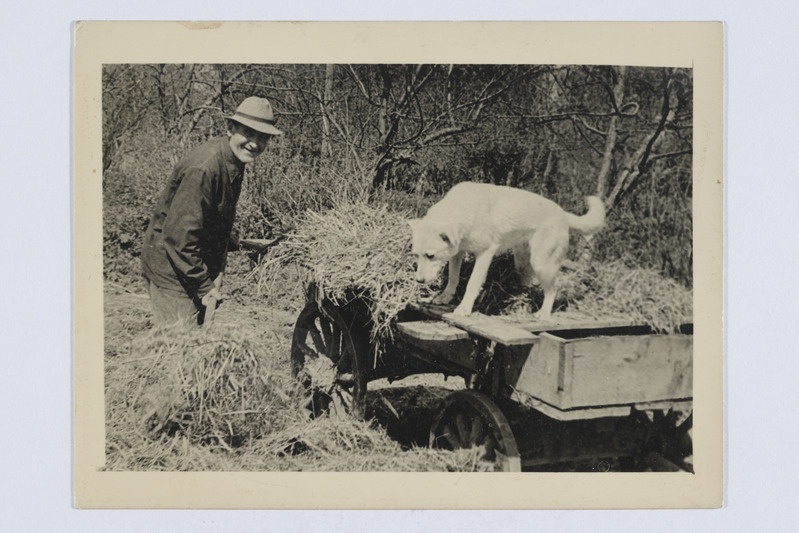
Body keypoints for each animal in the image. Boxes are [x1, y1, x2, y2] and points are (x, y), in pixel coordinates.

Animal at [412, 181, 608, 318]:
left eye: (430, 256)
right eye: (416, 256)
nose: (419, 281)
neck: (464, 208)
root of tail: (562, 213)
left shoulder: (485, 253)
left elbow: (472, 283)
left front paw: (464, 308)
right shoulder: (457, 253)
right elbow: (453, 277)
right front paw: (445, 297)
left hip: (542, 264)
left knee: (553, 289)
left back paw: (543, 313)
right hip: (523, 263)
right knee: (530, 284)